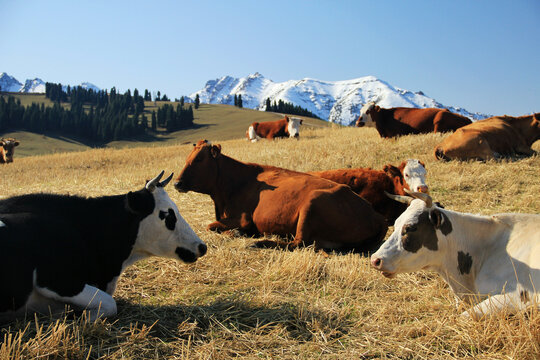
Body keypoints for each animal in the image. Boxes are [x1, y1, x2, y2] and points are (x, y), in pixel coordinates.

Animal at [175, 140, 386, 253]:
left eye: (199, 159)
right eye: (186, 158)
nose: (177, 183)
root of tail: (377, 215)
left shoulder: (242, 218)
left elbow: (211, 225)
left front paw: (237, 233)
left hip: (312, 203)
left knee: (298, 243)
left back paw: (259, 242)